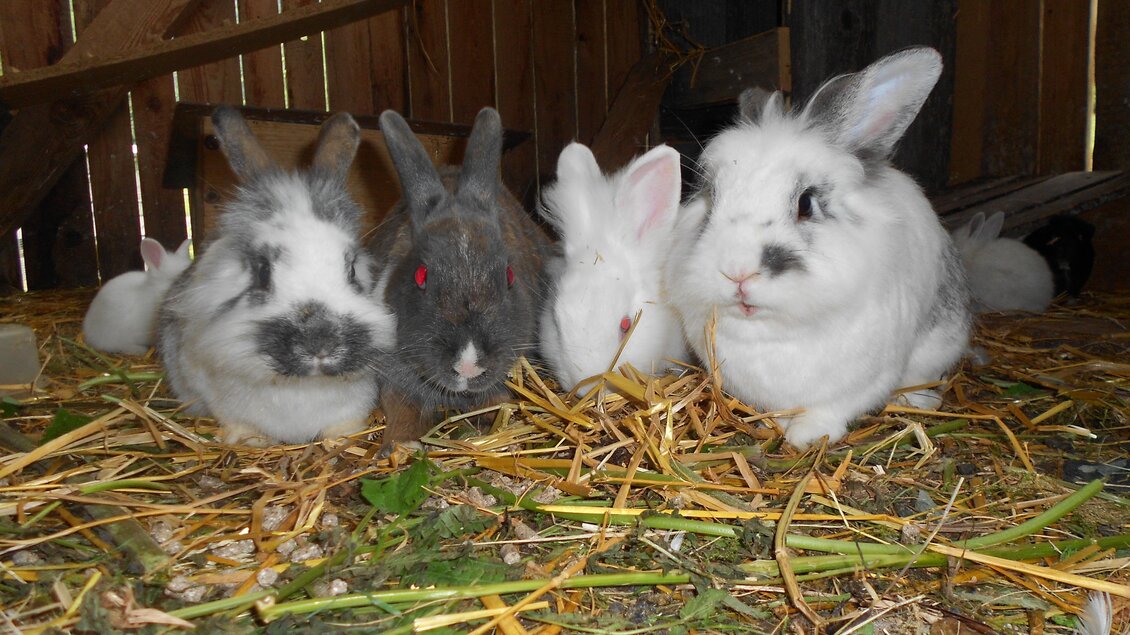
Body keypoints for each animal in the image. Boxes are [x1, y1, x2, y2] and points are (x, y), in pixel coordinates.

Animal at [157, 106, 396, 446]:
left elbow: (343, 426)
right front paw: (251, 441)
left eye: (351, 269)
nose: (320, 342)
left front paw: (341, 441)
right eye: (262, 270)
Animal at [366, 107, 551, 449]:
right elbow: (401, 409)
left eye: (509, 276)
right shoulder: (394, 376)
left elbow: (495, 402)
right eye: (421, 275)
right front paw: (401, 445)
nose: (469, 365)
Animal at [667, 47, 972, 450]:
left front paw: (806, 437)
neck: (774, 332)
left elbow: (829, 410)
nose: (737, 272)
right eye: (711, 200)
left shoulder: (858, 383)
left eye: (806, 204)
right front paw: (779, 427)